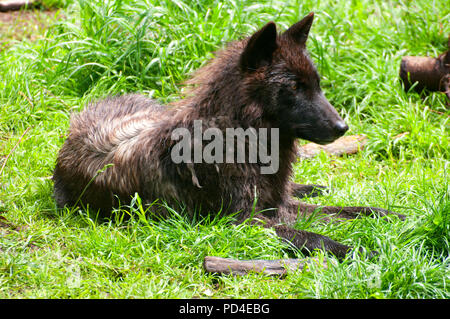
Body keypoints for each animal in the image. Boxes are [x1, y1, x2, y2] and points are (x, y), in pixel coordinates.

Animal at [53, 13, 404, 260]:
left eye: (317, 85)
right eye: (294, 86)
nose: (342, 127)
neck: (242, 139)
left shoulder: (277, 206)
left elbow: (348, 210)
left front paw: (392, 216)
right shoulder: (240, 222)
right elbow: (315, 237)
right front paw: (360, 251)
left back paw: (313, 187)